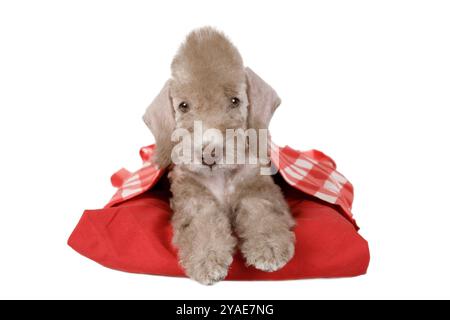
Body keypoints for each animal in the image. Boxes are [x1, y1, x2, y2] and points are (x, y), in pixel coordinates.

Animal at [142, 26, 294, 284]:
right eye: (183, 106)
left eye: (235, 101)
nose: (209, 154)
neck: (221, 177)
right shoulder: (193, 198)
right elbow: (202, 224)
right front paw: (207, 261)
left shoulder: (256, 186)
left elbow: (262, 210)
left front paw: (270, 248)